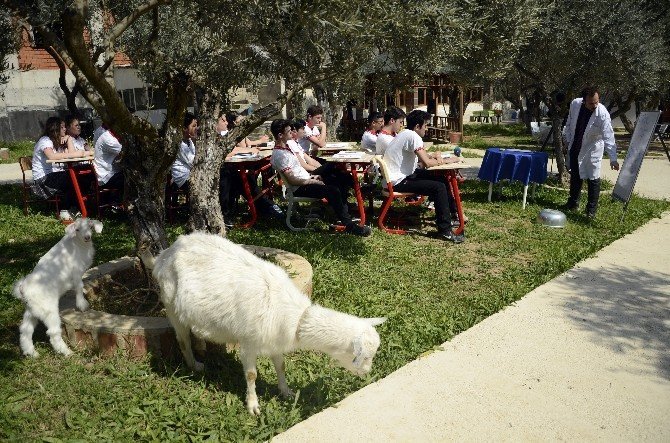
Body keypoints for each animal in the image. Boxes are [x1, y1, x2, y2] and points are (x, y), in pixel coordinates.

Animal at [12, 219, 103, 358]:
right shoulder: (76, 271)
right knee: (53, 332)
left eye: (90, 226)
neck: (78, 244)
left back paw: (31, 353)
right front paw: (82, 304)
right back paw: (67, 352)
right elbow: (79, 286)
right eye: (77, 229)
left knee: (25, 330)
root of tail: (23, 289)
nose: (87, 237)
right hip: (49, 310)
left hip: (32, 310)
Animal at [150, 232, 386, 416]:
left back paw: (202, 348)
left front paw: (286, 392)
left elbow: (280, 366)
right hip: (170, 304)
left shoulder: (275, 340)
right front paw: (253, 406)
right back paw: (194, 365)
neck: (296, 317)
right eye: (362, 356)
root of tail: (165, 253)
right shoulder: (248, 342)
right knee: (182, 339)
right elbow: (251, 374)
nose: (366, 373)